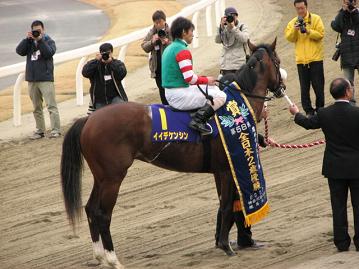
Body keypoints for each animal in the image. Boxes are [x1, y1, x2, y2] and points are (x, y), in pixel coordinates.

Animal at [62, 38, 286, 266]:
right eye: (277, 61)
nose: (282, 87)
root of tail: (89, 119)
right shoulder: (227, 168)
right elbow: (226, 205)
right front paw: (226, 246)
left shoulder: (220, 170)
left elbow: (226, 205)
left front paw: (222, 241)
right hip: (113, 178)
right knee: (102, 214)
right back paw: (112, 259)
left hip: (101, 176)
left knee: (90, 208)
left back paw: (99, 255)